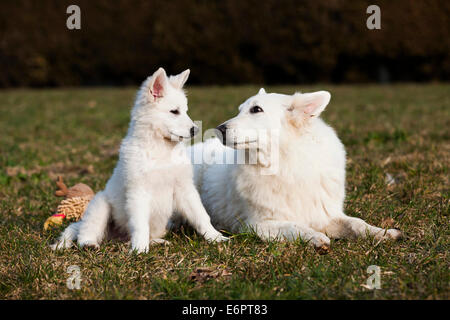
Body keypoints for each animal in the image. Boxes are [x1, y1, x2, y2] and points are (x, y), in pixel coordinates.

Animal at [52, 67, 227, 252]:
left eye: (185, 111)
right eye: (174, 111)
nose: (195, 130)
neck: (161, 150)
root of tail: (116, 237)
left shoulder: (185, 188)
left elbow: (201, 216)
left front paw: (216, 237)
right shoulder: (139, 192)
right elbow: (140, 224)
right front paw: (140, 251)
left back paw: (156, 242)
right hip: (100, 205)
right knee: (86, 230)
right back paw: (90, 244)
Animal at [189, 88, 400, 252]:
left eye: (256, 109)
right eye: (240, 110)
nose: (219, 129)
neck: (286, 163)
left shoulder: (326, 215)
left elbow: (357, 223)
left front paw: (382, 233)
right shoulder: (256, 224)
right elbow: (294, 226)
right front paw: (315, 237)